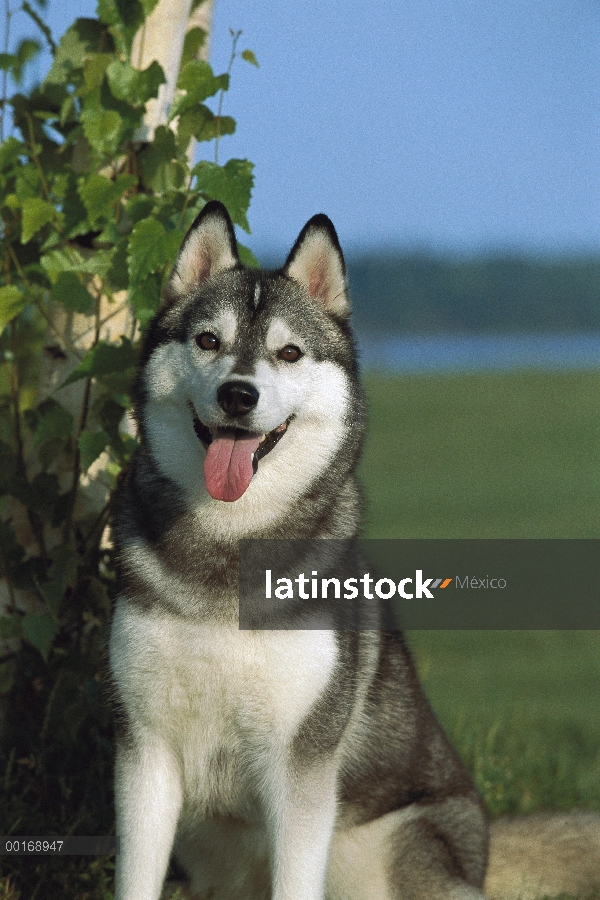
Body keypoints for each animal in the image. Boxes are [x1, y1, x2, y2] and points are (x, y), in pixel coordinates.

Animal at [109, 204, 600, 900]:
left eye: (289, 353)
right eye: (207, 341)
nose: (238, 394)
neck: (230, 547)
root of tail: (481, 849)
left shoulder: (300, 764)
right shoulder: (145, 753)